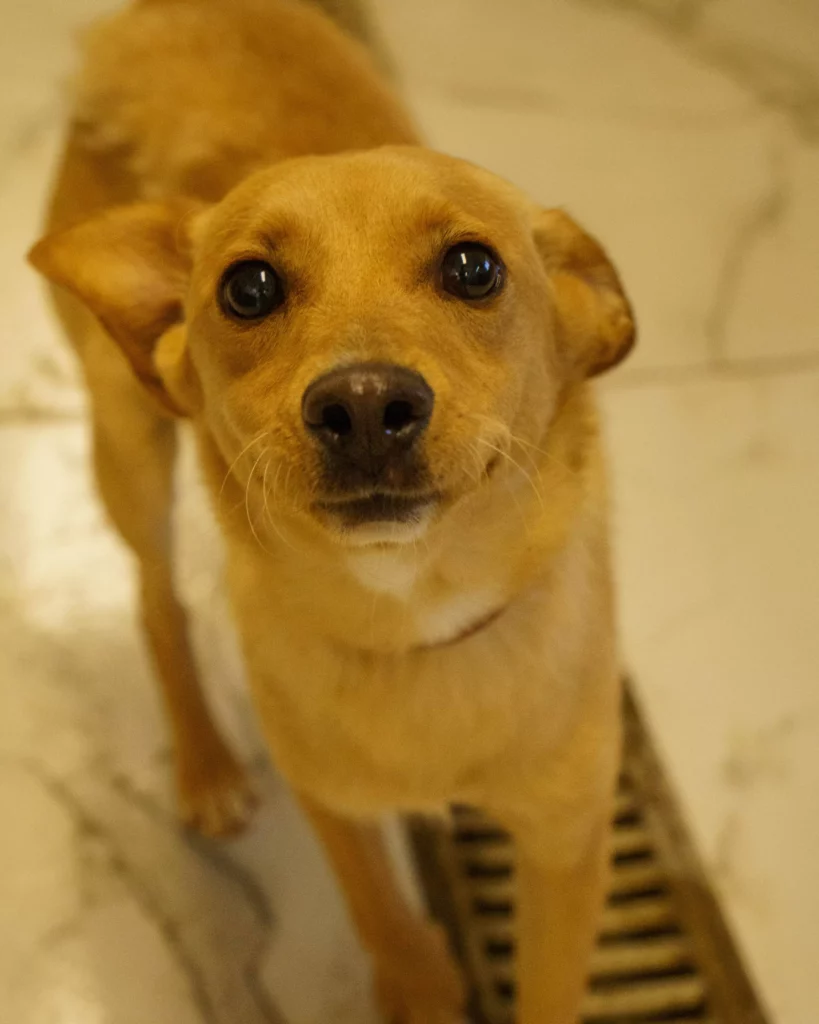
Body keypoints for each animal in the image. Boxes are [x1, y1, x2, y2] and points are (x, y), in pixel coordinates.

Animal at [28, 1, 635, 1021]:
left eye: (474, 267)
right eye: (248, 287)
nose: (361, 402)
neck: (413, 620)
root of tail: (165, 17)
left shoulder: (566, 844)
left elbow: (549, 987)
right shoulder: (332, 804)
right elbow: (376, 905)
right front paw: (417, 979)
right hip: (128, 449)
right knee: (156, 601)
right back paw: (206, 765)